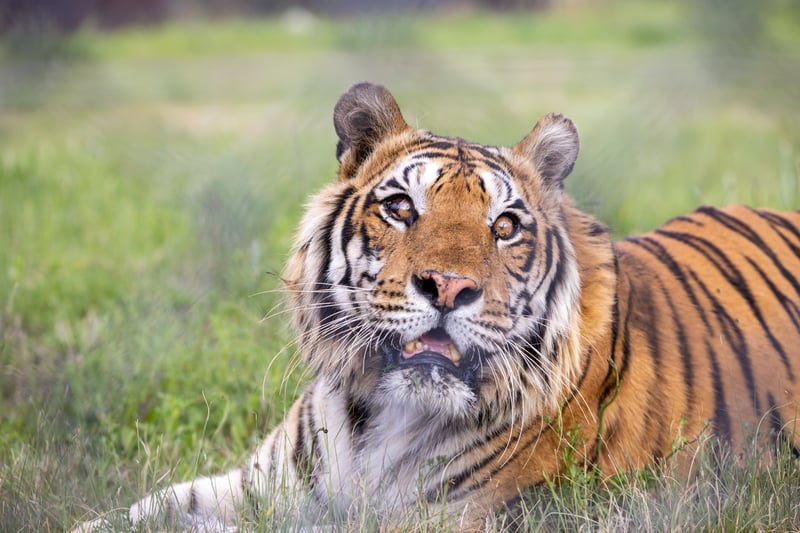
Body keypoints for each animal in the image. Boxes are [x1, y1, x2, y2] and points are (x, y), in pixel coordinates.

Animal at [73, 82, 800, 531]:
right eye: (401, 208)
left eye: (504, 226)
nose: (448, 287)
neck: (375, 421)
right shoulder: (257, 485)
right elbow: (134, 511)